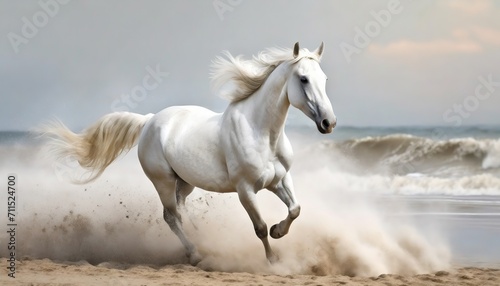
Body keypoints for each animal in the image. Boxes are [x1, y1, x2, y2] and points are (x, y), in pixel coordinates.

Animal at [44, 42, 336, 266]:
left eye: (324, 79)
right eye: (303, 79)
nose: (328, 123)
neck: (261, 133)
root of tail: (149, 121)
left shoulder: (280, 179)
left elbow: (295, 209)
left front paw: (278, 232)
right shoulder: (245, 190)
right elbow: (259, 227)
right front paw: (273, 259)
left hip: (185, 182)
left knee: (182, 210)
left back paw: (202, 240)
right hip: (162, 181)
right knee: (171, 216)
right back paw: (195, 254)